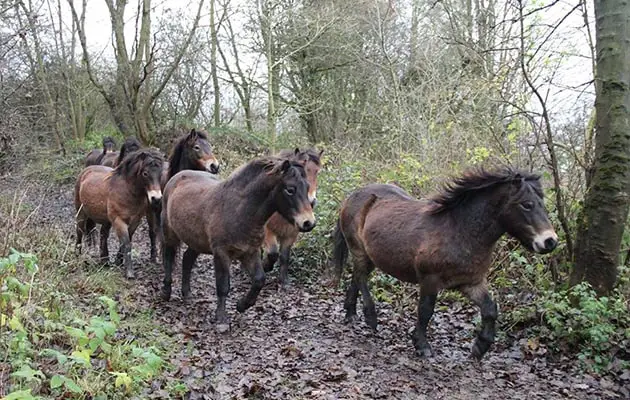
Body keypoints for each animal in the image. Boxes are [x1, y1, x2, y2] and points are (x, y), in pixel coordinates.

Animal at [75, 149, 165, 278]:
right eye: (145, 173)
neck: (127, 191)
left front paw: (118, 261)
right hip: (81, 213)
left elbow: (126, 241)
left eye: (160, 174)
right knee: (80, 231)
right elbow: (126, 243)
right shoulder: (119, 220)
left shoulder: (135, 221)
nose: (156, 199)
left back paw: (105, 261)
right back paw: (78, 254)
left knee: (103, 234)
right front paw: (129, 272)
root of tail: (86, 170)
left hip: (106, 220)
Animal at [163, 156, 318, 332]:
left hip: (196, 242)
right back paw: (166, 292)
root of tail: (179, 176)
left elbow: (259, 279)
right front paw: (221, 319)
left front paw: (242, 305)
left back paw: (187, 294)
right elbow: (223, 286)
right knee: (169, 257)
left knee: (187, 260)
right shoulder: (222, 254)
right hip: (170, 233)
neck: (240, 211)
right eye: (290, 189)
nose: (309, 223)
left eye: (307, 187)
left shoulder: (250, 252)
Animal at [262, 148, 324, 284]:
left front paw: (284, 281)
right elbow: (272, 253)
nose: (311, 201)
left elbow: (284, 256)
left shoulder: (291, 234)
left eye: (317, 171)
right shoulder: (268, 231)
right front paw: (266, 266)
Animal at [334, 167, 560, 360]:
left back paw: (351, 314)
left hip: (370, 256)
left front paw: (480, 347)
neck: (460, 231)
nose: (550, 241)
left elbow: (490, 309)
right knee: (361, 278)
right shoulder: (430, 280)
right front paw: (422, 345)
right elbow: (425, 311)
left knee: (357, 277)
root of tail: (353, 195)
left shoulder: (471, 283)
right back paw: (370, 318)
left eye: (542, 203)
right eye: (526, 204)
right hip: (359, 250)